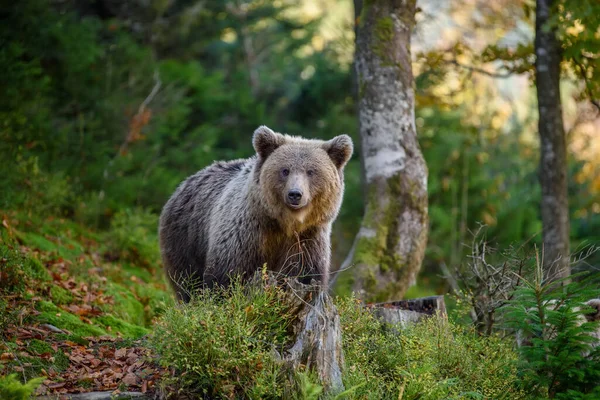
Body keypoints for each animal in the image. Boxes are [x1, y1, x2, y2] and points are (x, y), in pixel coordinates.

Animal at [158, 125, 352, 300]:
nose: (295, 194)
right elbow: (227, 275)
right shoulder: (246, 233)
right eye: (285, 170)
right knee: (187, 280)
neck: (285, 223)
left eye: (311, 171)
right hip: (185, 238)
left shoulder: (307, 238)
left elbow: (304, 274)